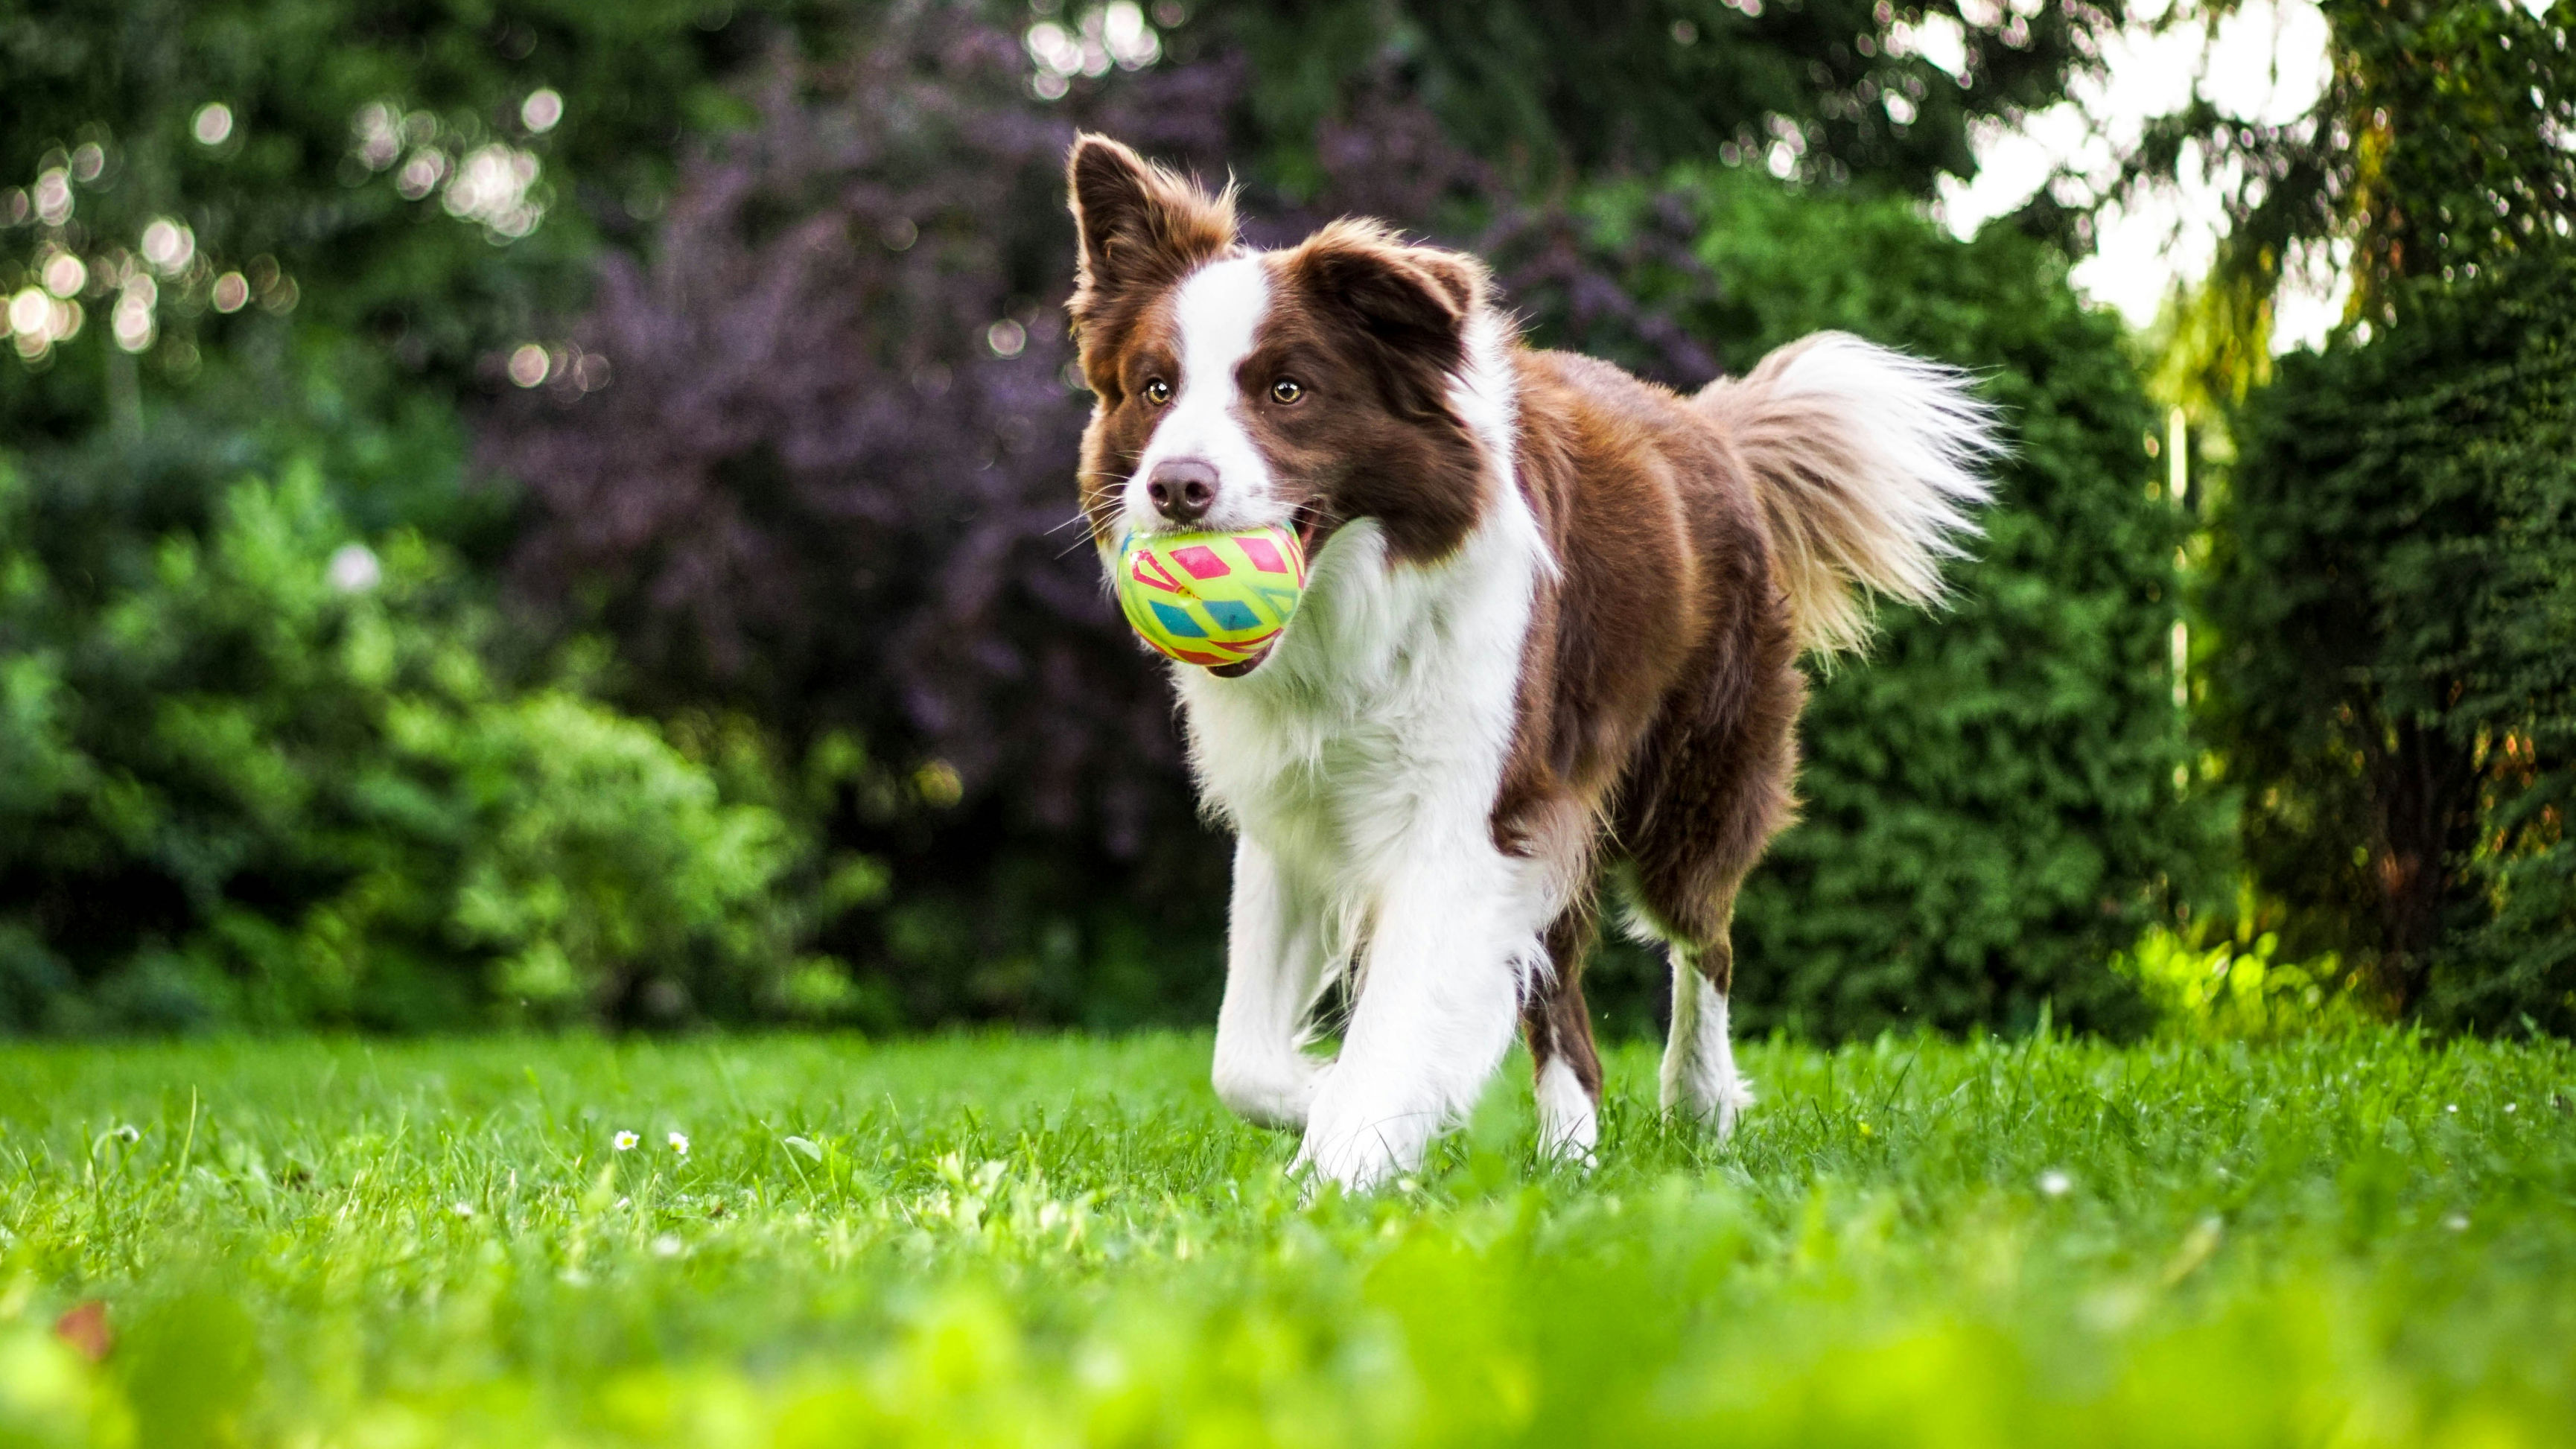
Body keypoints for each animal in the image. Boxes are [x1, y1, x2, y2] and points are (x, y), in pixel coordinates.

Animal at [1056, 133, 1999, 1188]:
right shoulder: (1297, 811)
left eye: (1287, 391)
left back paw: (1699, 1101)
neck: (1352, 607)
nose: (1176, 486)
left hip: (1691, 780)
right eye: (1156, 388)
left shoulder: (1470, 812)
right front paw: (1335, 1100)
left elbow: (1396, 1021)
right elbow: (1242, 1059)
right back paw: (1571, 1157)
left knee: (1703, 938)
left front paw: (1344, 1160)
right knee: (1567, 1009)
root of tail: (1708, 425)